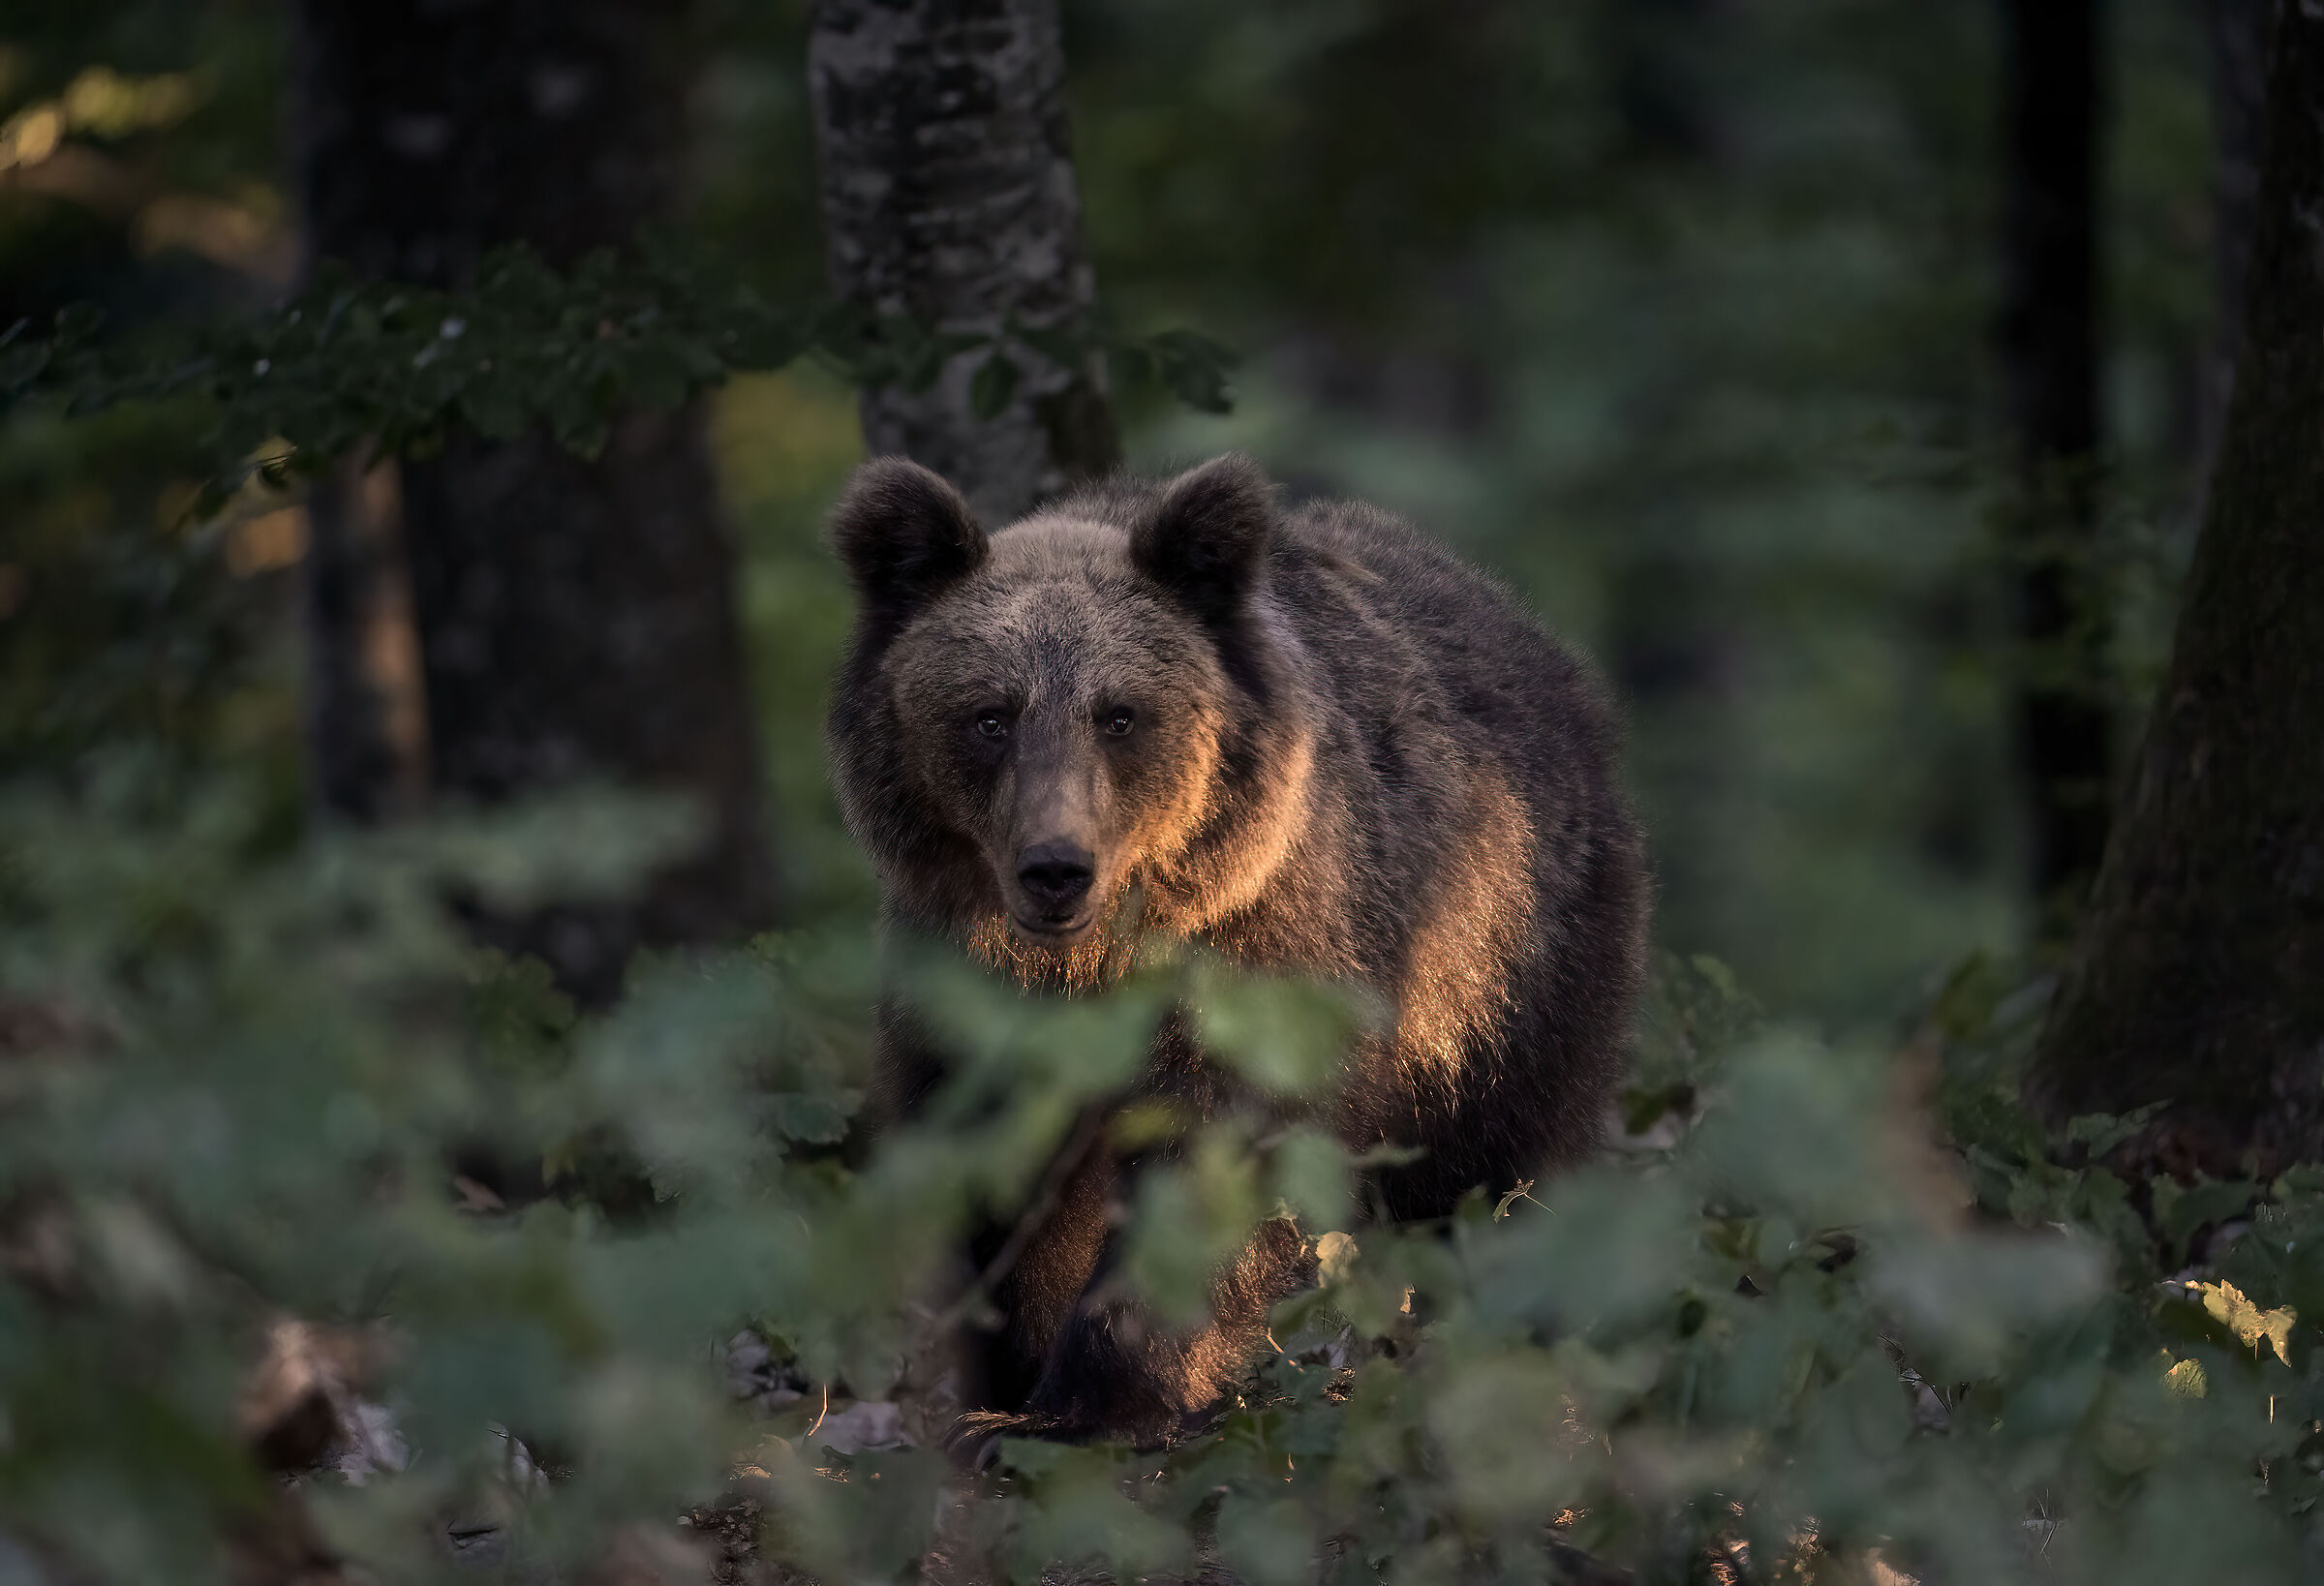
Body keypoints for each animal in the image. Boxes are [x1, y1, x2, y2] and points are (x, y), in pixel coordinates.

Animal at [825, 452, 1649, 1448]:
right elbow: (1001, 1167)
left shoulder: (1263, 955)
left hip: (1506, 961)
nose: (1056, 869)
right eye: (990, 715)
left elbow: (1214, 1161)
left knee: (1497, 1172)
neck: (1096, 964)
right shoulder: (968, 989)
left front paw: (1096, 1397)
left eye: (1119, 714)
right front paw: (1007, 1388)